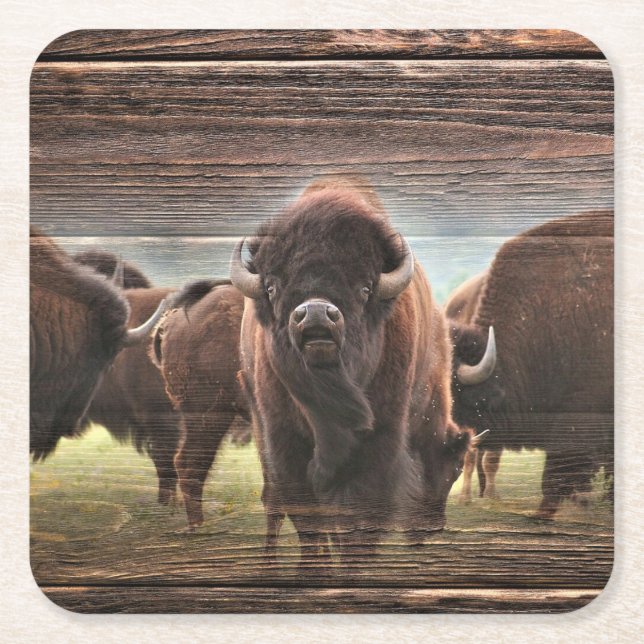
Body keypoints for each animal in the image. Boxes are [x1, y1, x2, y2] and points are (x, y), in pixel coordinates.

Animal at [231, 181, 483, 562]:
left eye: (365, 287)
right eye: (272, 286)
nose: (316, 314)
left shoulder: (378, 441)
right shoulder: (284, 441)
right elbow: (307, 516)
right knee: (274, 504)